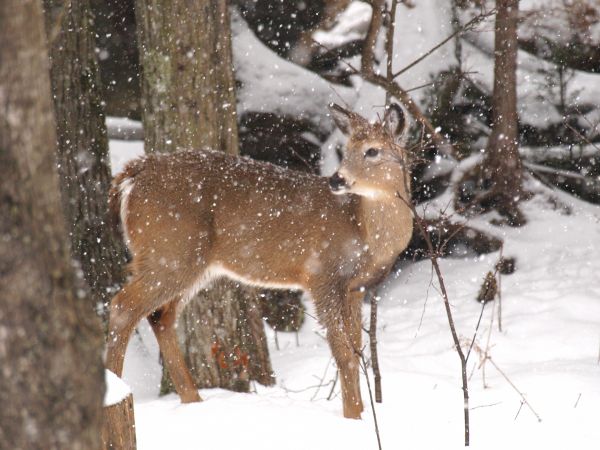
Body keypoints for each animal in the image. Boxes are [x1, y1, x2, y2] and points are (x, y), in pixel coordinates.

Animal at [105, 102, 412, 418]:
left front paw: (360, 412)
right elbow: (344, 354)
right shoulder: (321, 274)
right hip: (170, 250)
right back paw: (114, 395)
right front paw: (353, 416)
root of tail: (135, 172)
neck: (364, 231)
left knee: (160, 316)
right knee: (123, 306)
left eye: (373, 150)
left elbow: (357, 349)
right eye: (347, 149)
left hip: (191, 263)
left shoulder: (356, 287)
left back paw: (192, 399)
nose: (336, 179)